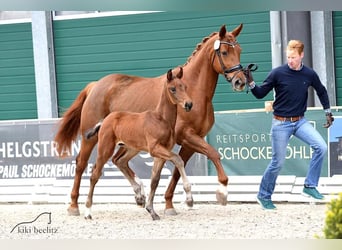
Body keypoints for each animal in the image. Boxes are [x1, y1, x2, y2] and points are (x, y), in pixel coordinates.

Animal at [84, 67, 192, 220]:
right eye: (173, 89)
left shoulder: (161, 153)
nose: (189, 104)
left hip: (131, 148)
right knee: (95, 175)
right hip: (105, 149)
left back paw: (139, 196)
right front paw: (189, 199)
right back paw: (88, 212)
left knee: (120, 161)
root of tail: (104, 120)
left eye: (185, 86)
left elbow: (155, 180)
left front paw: (151, 211)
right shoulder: (155, 149)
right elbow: (178, 159)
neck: (162, 119)